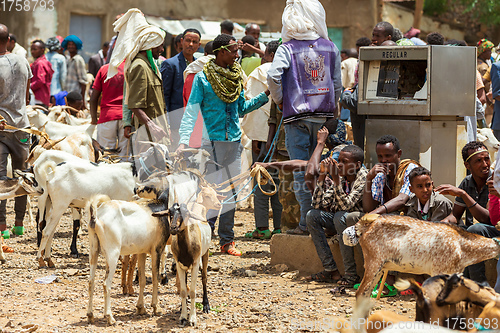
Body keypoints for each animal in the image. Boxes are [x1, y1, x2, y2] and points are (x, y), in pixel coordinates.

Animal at [87, 192, 171, 324]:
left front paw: (141, 308)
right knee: (106, 284)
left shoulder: (142, 252)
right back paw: (110, 317)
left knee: (91, 282)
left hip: (93, 251)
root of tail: (96, 216)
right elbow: (155, 278)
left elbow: (142, 279)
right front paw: (156, 308)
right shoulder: (157, 250)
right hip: (113, 254)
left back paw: (90, 315)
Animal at [159, 185, 222, 326]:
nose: (173, 228)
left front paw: (192, 318)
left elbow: (193, 291)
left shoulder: (195, 264)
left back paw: (205, 305)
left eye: (185, 212)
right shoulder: (180, 264)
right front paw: (183, 316)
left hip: (205, 254)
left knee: (204, 277)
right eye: (170, 212)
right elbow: (183, 291)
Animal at [354, 214, 500, 296]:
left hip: (381, 268)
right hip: (373, 263)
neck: (462, 247)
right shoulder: (438, 271)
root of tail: (364, 227)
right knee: (359, 293)